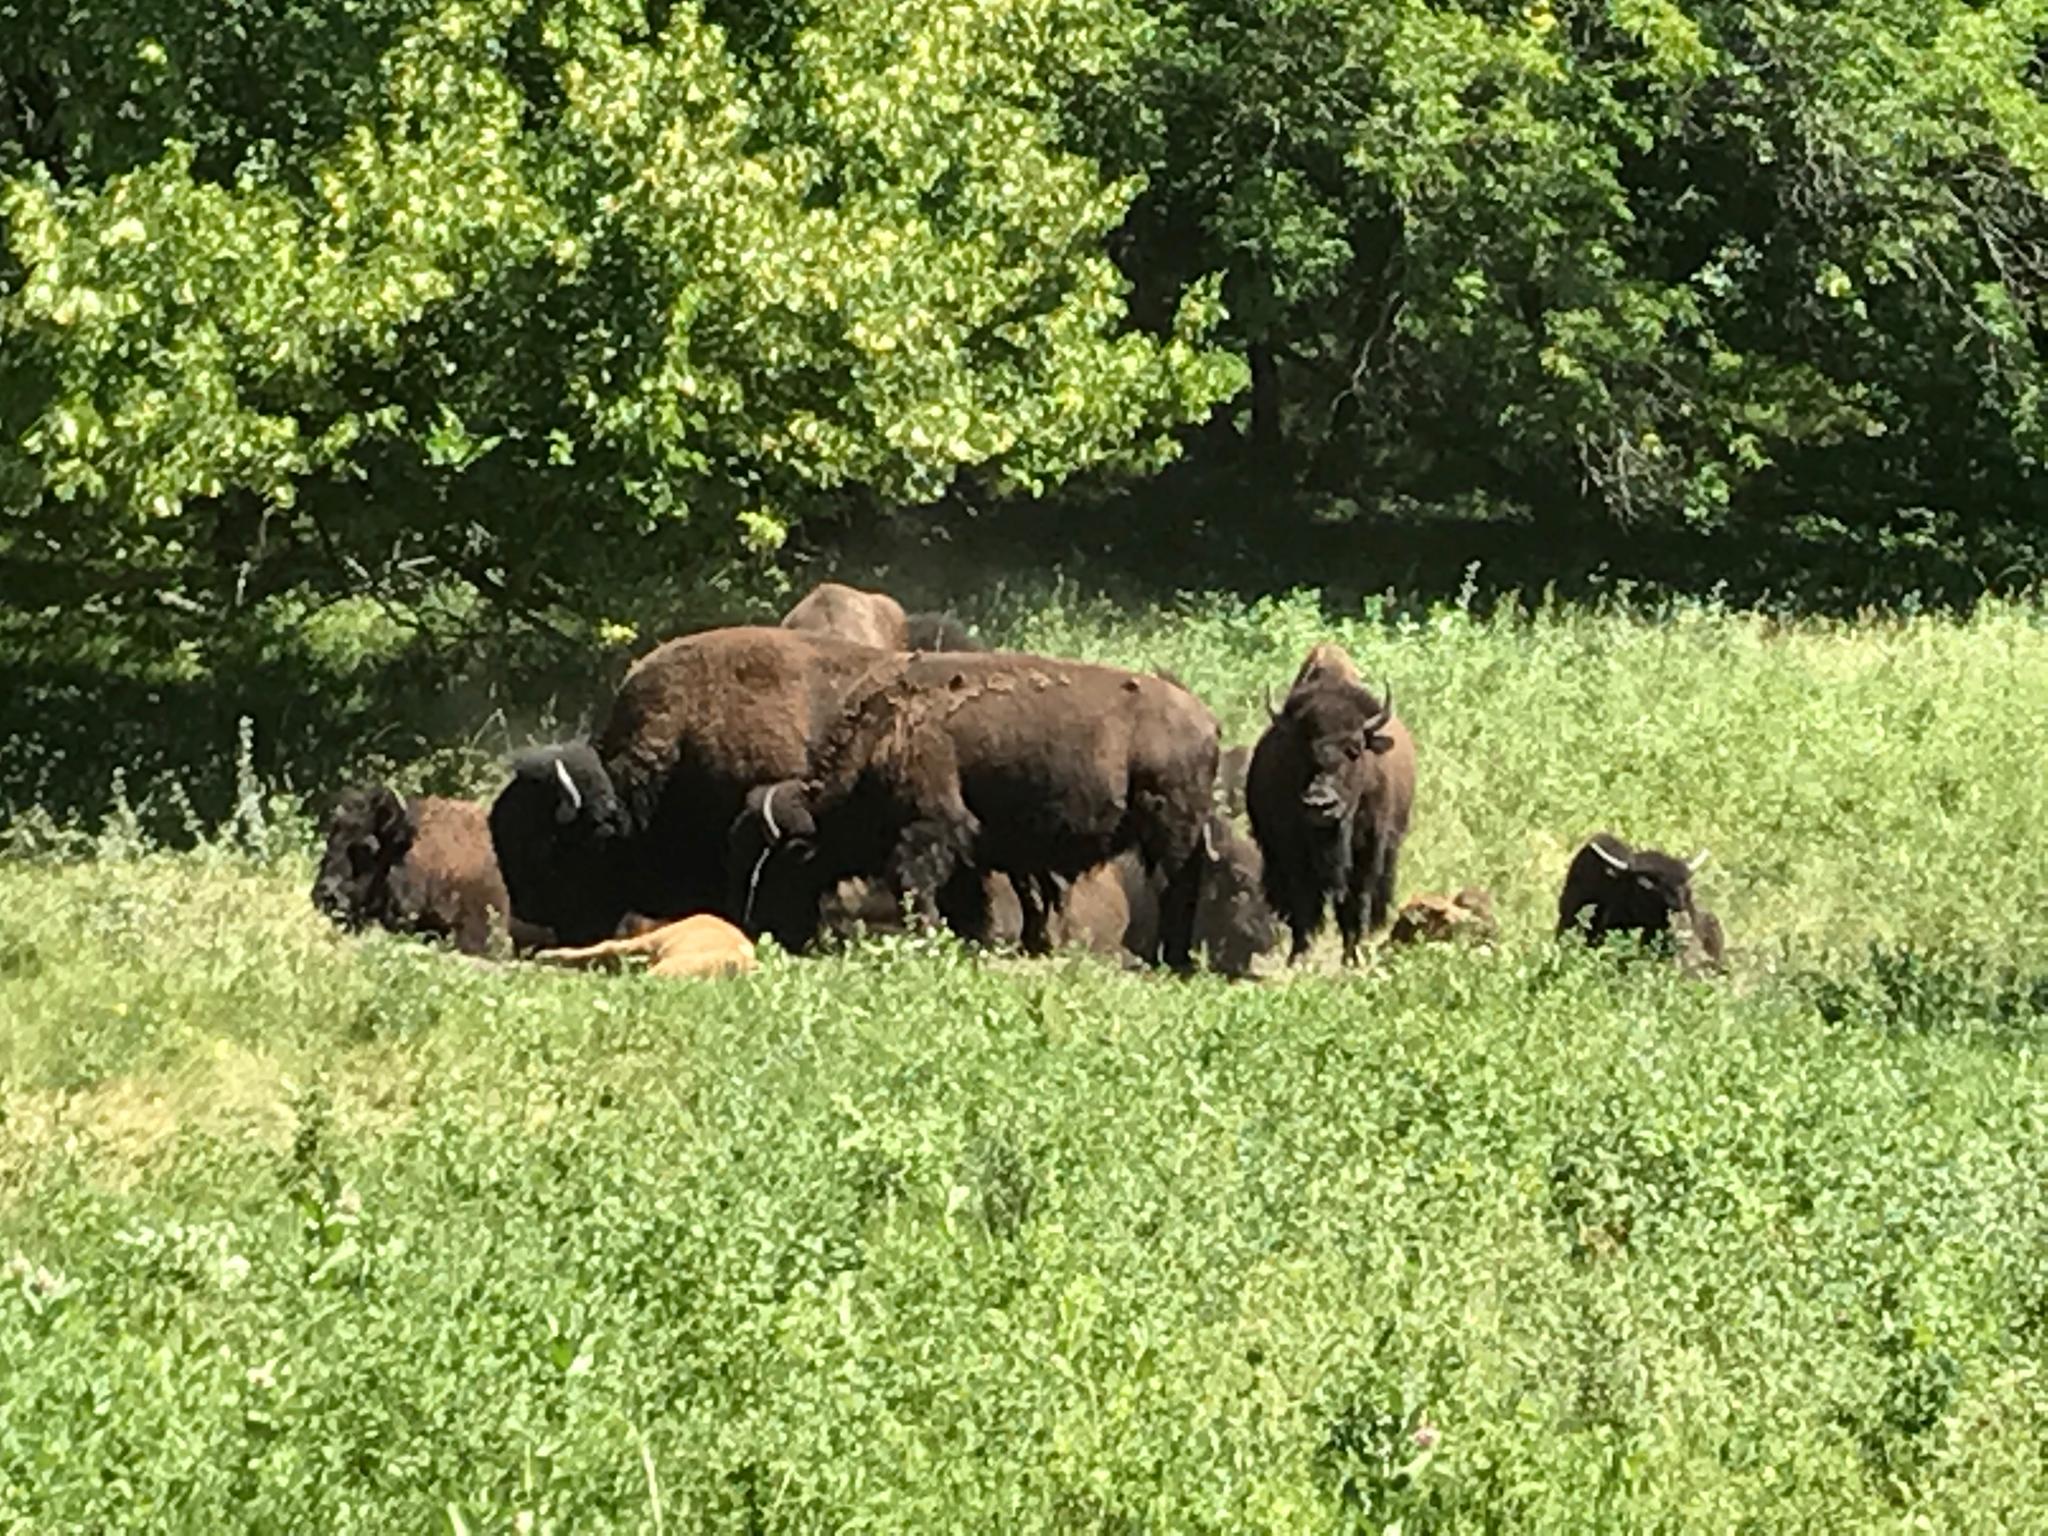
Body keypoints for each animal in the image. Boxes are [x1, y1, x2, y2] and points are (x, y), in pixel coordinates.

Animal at [728, 652, 1220, 968]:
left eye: (785, 861)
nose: (760, 925)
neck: (885, 729)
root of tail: (1206, 719)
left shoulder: (932, 830)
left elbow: (919, 886)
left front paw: (929, 936)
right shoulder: (987, 850)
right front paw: (1015, 943)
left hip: (1170, 829)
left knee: (1176, 885)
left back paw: (1171, 958)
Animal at [1246, 641, 1417, 964]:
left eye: (1355, 748)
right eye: (1300, 748)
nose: (1320, 803)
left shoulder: (1369, 847)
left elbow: (1358, 898)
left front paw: (1354, 956)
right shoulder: (1291, 851)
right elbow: (1303, 901)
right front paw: (1299, 957)